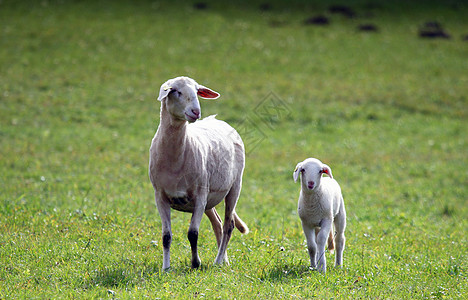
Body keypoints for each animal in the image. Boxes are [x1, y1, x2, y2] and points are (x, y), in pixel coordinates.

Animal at [150, 76, 249, 270]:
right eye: (176, 91)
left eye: (197, 91)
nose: (196, 112)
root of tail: (218, 120)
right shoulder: (160, 196)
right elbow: (166, 236)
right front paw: (166, 268)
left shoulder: (200, 194)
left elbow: (193, 233)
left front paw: (195, 263)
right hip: (210, 199)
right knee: (217, 223)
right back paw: (224, 260)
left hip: (234, 186)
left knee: (228, 225)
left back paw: (218, 261)